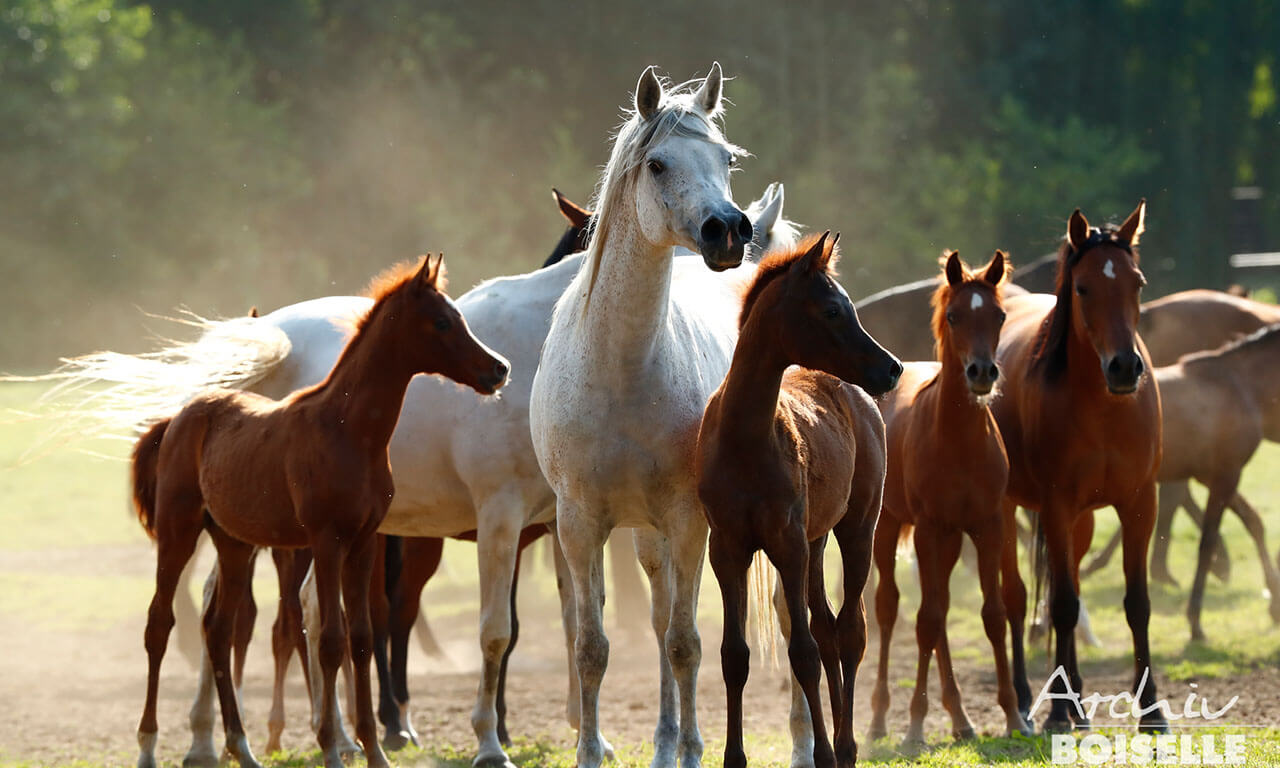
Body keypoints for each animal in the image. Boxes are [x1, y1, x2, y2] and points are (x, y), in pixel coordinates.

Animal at [128, 256, 509, 768]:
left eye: (459, 317)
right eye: (443, 321)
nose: (499, 369)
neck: (347, 431)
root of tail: (178, 418)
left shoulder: (364, 543)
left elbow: (362, 638)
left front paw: (374, 750)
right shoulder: (328, 542)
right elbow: (330, 640)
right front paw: (332, 746)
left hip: (234, 544)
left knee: (219, 631)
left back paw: (242, 747)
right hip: (179, 532)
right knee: (159, 626)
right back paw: (149, 747)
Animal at [701, 232, 901, 768]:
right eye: (832, 310)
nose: (892, 368)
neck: (746, 440)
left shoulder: (785, 544)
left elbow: (803, 653)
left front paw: (825, 754)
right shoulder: (727, 549)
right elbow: (735, 655)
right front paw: (734, 758)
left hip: (856, 529)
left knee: (849, 632)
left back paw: (846, 747)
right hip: (815, 542)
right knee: (829, 627)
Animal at [860, 249, 1029, 747]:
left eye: (999, 315)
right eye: (954, 315)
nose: (982, 372)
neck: (957, 440)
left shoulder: (988, 526)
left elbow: (991, 615)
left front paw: (1013, 716)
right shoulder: (928, 529)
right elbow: (926, 620)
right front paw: (915, 726)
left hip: (951, 539)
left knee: (942, 611)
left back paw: (960, 717)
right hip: (892, 529)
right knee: (891, 609)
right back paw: (880, 718)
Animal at [988, 200, 1172, 737]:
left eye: (1137, 283)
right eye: (1083, 287)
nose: (1125, 367)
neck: (1104, 407)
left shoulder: (1140, 504)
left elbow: (1137, 604)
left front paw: (1151, 710)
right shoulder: (1055, 505)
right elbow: (1062, 605)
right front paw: (1055, 712)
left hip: (1081, 522)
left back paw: (1077, 703)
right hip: (1008, 513)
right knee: (1019, 600)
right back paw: (1034, 702)